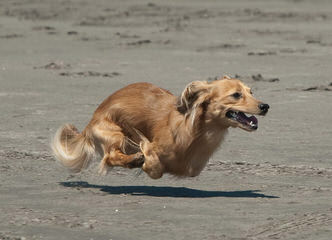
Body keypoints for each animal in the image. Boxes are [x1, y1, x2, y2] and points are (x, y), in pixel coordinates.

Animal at [52, 76, 270, 179]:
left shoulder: (193, 167)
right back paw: (134, 159)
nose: (265, 106)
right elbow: (155, 167)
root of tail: (89, 125)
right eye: (236, 95)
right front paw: (145, 160)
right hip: (115, 133)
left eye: (251, 92)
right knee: (110, 156)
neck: (197, 132)